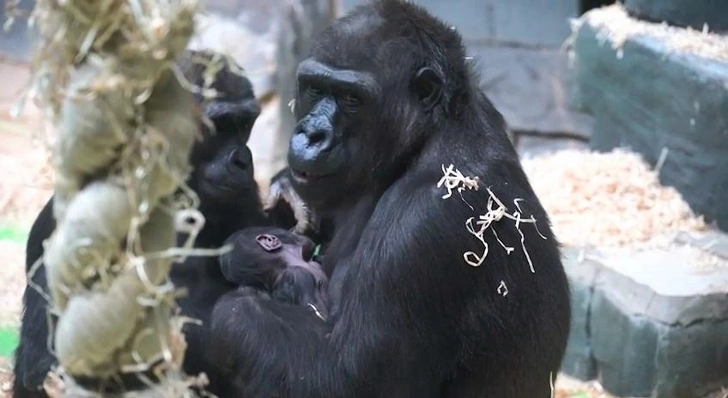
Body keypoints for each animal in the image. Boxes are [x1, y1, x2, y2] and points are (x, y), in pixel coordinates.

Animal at [208, 0, 572, 398]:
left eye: (352, 98)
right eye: (315, 88)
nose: (312, 133)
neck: (422, 140)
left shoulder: (427, 222)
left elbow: (348, 376)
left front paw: (233, 307)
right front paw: (287, 193)